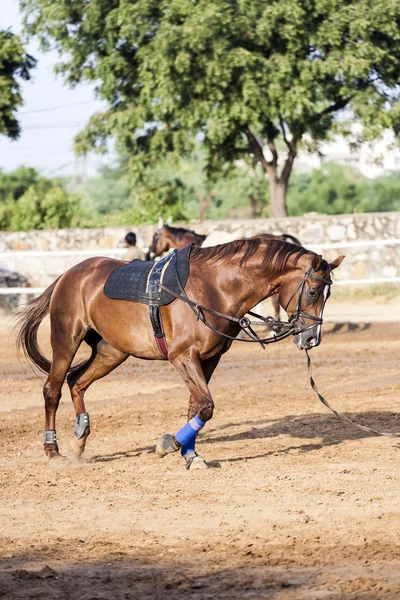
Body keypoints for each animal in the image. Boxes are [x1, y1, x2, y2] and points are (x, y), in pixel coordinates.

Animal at [15, 237, 344, 472]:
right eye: (313, 291)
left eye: (328, 294)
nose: (311, 338)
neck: (215, 287)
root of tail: (68, 274)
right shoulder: (182, 356)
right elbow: (206, 407)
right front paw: (168, 444)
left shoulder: (209, 359)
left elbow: (195, 407)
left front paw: (190, 454)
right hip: (66, 341)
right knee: (52, 390)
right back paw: (53, 451)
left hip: (112, 352)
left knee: (77, 382)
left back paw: (79, 442)